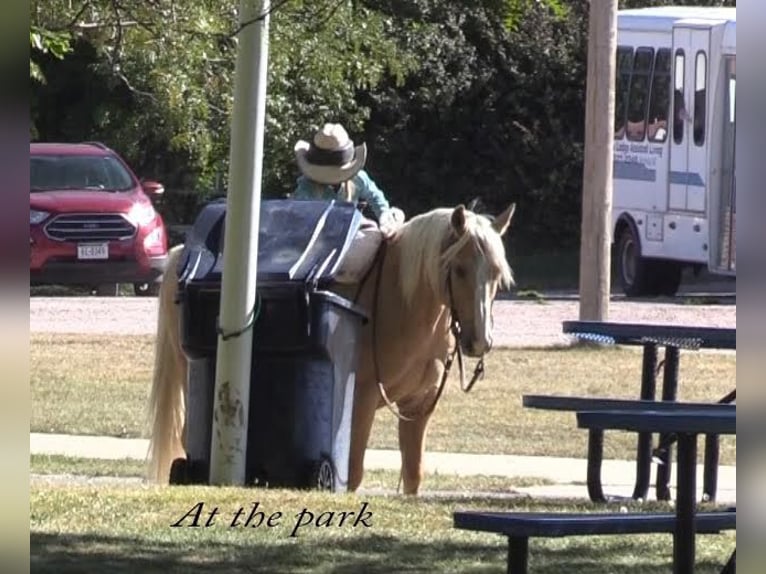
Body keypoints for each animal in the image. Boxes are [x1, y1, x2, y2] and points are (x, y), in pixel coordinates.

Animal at [147, 202, 520, 496]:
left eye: (496, 274)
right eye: (458, 269)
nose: (479, 341)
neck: (401, 300)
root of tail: (179, 255)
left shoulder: (419, 406)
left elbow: (413, 475)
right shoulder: (362, 400)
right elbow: (352, 473)